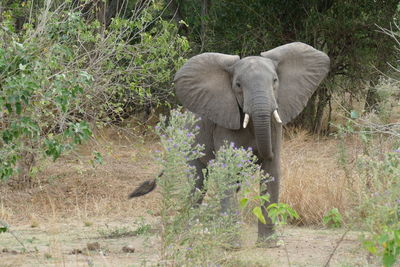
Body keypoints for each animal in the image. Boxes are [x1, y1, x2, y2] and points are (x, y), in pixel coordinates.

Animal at [130, 42, 330, 247]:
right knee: (198, 183)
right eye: (238, 85)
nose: (257, 154)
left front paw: (268, 244)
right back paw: (186, 235)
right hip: (190, 142)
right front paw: (233, 246)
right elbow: (228, 172)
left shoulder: (276, 122)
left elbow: (271, 172)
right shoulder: (224, 124)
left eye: (275, 81)